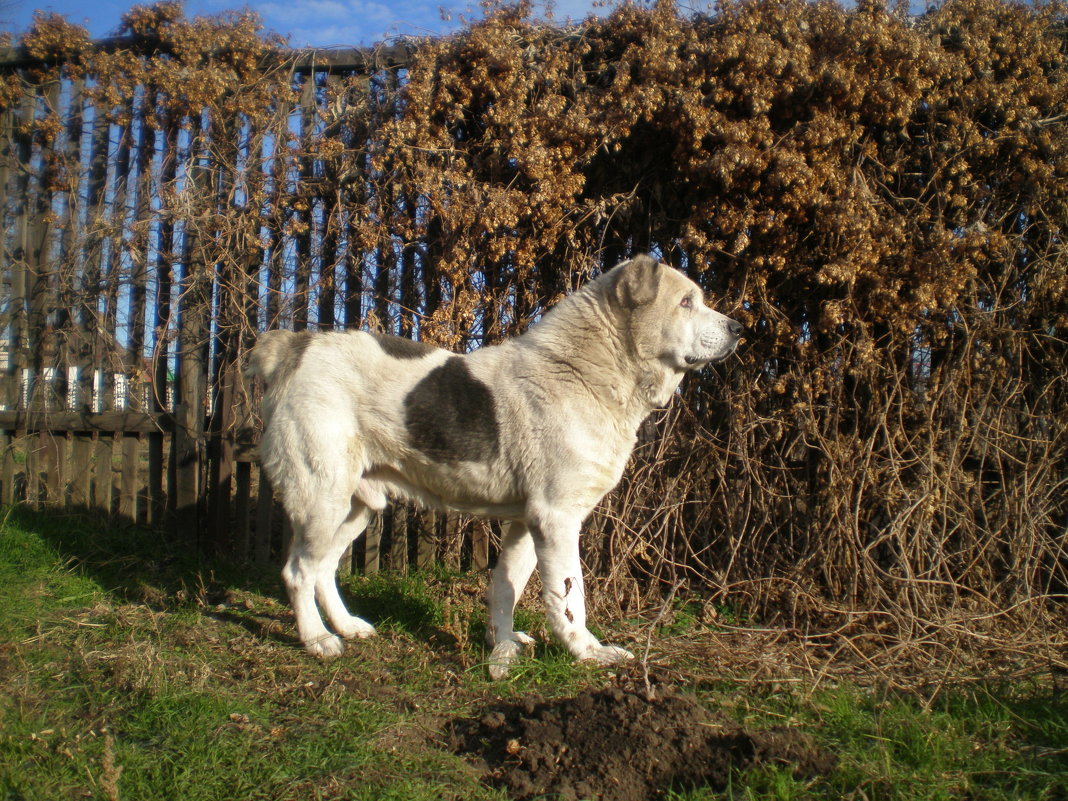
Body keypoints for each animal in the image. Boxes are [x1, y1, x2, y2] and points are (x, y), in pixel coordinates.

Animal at [244, 255, 739, 679]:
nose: (740, 327)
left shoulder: (526, 521)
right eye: (686, 301)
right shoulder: (556, 518)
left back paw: (347, 626)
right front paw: (585, 651)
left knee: (323, 569)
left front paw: (501, 645)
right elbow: (569, 597)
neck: (584, 369)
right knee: (298, 572)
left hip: (357, 506)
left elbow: (506, 587)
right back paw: (317, 640)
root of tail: (296, 345)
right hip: (322, 498)